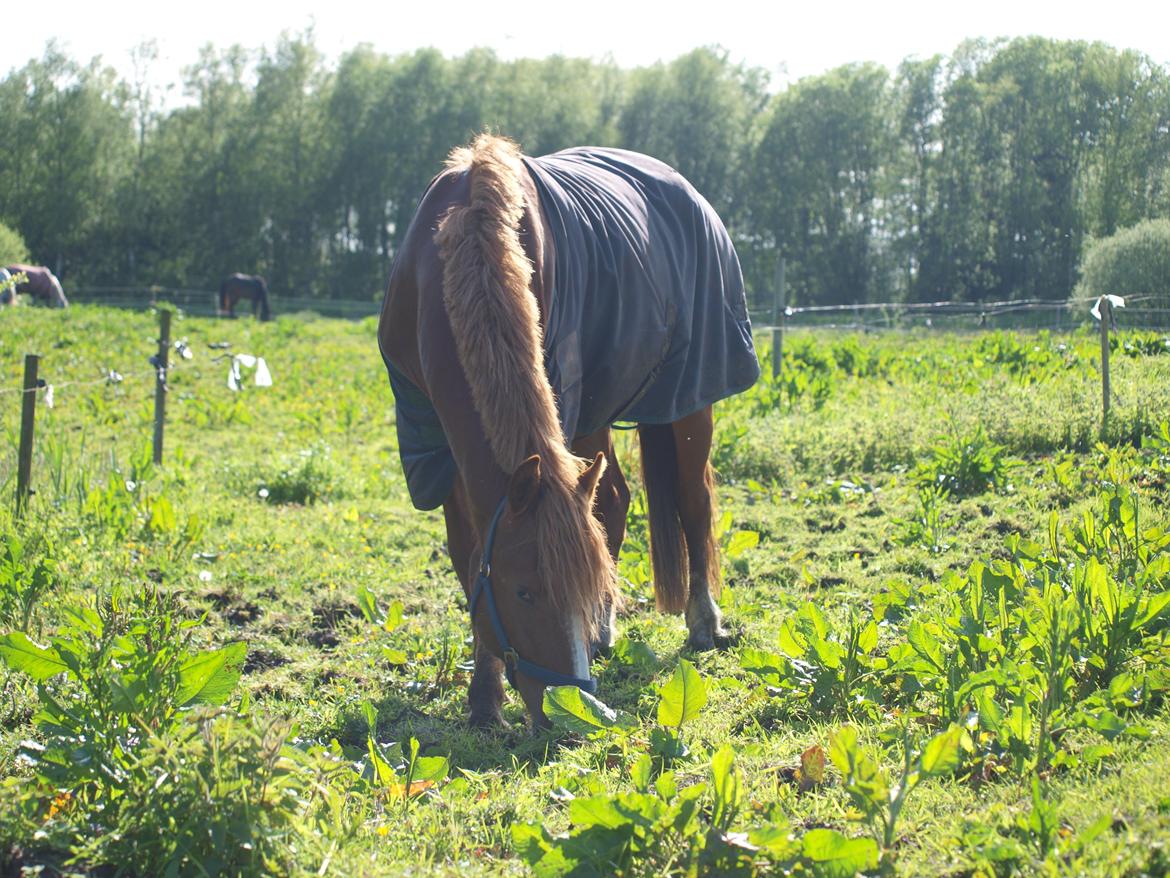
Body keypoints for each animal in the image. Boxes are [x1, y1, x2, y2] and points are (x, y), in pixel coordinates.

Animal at [374, 135, 758, 730]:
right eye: (524, 592)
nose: (578, 710)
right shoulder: (433, 445)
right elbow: (467, 557)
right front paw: (484, 702)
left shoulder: (563, 400)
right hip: (597, 415)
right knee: (615, 500)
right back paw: (603, 634)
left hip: (689, 398)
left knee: (694, 503)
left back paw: (702, 623)